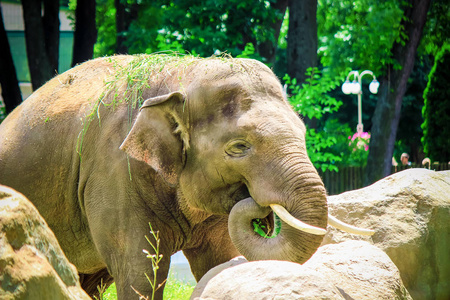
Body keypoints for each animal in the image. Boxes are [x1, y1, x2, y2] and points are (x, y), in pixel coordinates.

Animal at [0, 54, 372, 300]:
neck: (184, 73)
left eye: (303, 133)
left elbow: (218, 261)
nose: (261, 211)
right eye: (239, 147)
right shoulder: (113, 173)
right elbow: (139, 271)